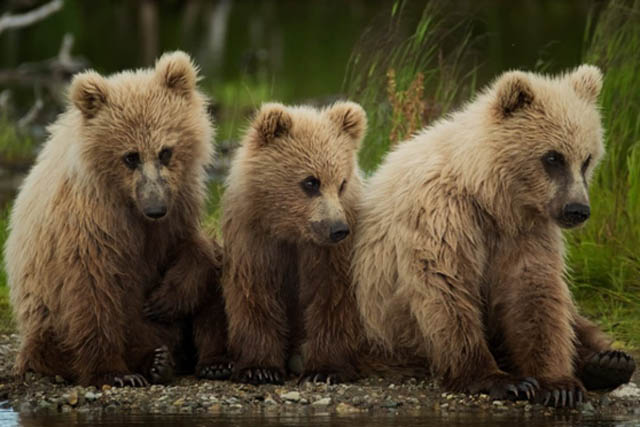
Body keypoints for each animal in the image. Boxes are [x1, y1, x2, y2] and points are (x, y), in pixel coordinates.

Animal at [3, 51, 228, 387]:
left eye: (166, 151)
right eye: (130, 157)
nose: (155, 208)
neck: (127, 203)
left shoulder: (178, 207)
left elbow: (194, 250)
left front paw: (163, 299)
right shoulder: (92, 222)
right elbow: (93, 289)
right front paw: (114, 372)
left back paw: (209, 361)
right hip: (45, 322)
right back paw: (153, 361)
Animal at [218, 101, 367, 384]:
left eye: (341, 183)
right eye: (310, 182)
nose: (338, 229)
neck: (291, 231)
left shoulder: (331, 255)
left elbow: (333, 297)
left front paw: (325, 369)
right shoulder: (255, 240)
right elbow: (256, 293)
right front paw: (259, 367)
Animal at [351, 65, 635, 407]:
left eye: (587, 159)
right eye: (553, 157)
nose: (577, 209)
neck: (490, 197)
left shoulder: (526, 232)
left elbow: (535, 295)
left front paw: (558, 384)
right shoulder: (442, 216)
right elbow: (447, 289)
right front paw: (502, 380)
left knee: (575, 319)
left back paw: (609, 361)